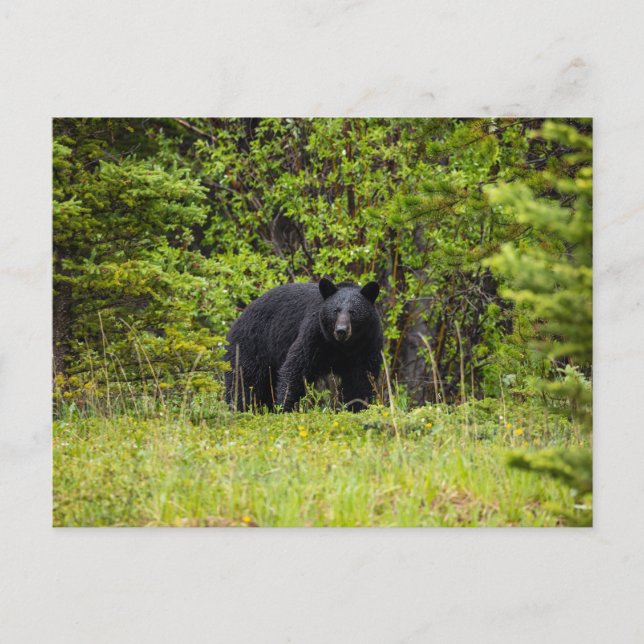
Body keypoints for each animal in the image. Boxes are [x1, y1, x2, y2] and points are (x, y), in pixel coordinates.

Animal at [224, 278, 383, 412]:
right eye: (336, 311)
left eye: (353, 312)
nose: (341, 330)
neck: (342, 346)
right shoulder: (315, 334)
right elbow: (297, 367)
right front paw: (286, 407)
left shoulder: (367, 344)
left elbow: (361, 378)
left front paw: (357, 407)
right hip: (251, 346)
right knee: (244, 381)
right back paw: (238, 409)